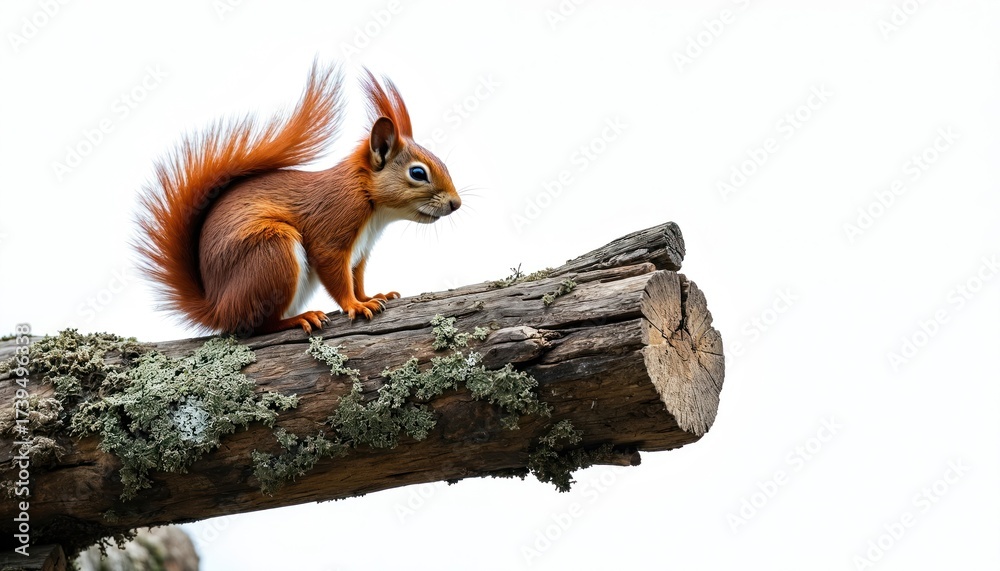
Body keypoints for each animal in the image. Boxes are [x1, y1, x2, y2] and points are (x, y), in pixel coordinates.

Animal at [135, 62, 461, 336]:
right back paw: (298, 318)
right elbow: (336, 273)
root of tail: (217, 308)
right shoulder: (333, 226)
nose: (456, 204)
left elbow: (356, 278)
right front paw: (356, 305)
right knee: (258, 326)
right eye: (418, 173)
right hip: (271, 252)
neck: (372, 205)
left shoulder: (360, 253)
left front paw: (371, 296)